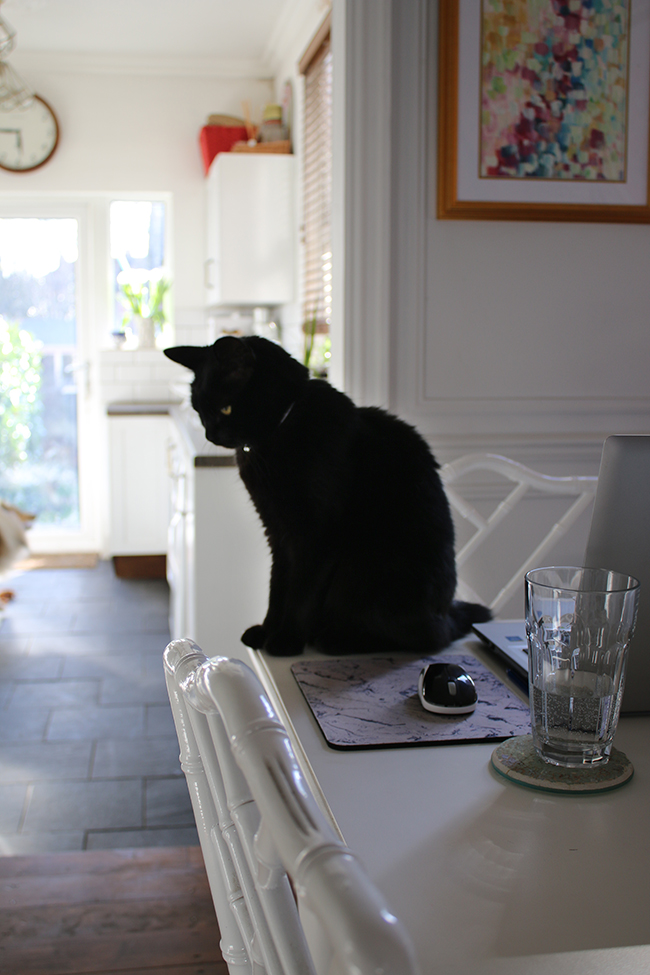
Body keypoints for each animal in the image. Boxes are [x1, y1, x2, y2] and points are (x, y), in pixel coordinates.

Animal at [165, 336, 488, 656]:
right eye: (199, 410)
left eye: (225, 409)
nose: (209, 434)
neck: (278, 432)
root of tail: (447, 615)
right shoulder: (278, 533)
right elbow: (278, 586)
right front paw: (267, 630)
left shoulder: (316, 535)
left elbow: (301, 592)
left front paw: (286, 639)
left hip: (364, 573)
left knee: (425, 640)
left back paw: (335, 639)